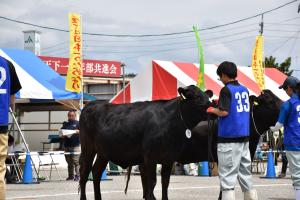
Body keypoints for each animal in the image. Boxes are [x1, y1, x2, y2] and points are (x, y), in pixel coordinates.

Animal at [79, 85, 211, 200]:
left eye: (207, 97)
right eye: (197, 97)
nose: (212, 105)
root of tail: (91, 104)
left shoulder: (169, 158)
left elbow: (165, 183)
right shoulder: (150, 157)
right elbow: (151, 182)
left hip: (103, 153)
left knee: (96, 172)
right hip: (88, 148)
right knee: (84, 174)